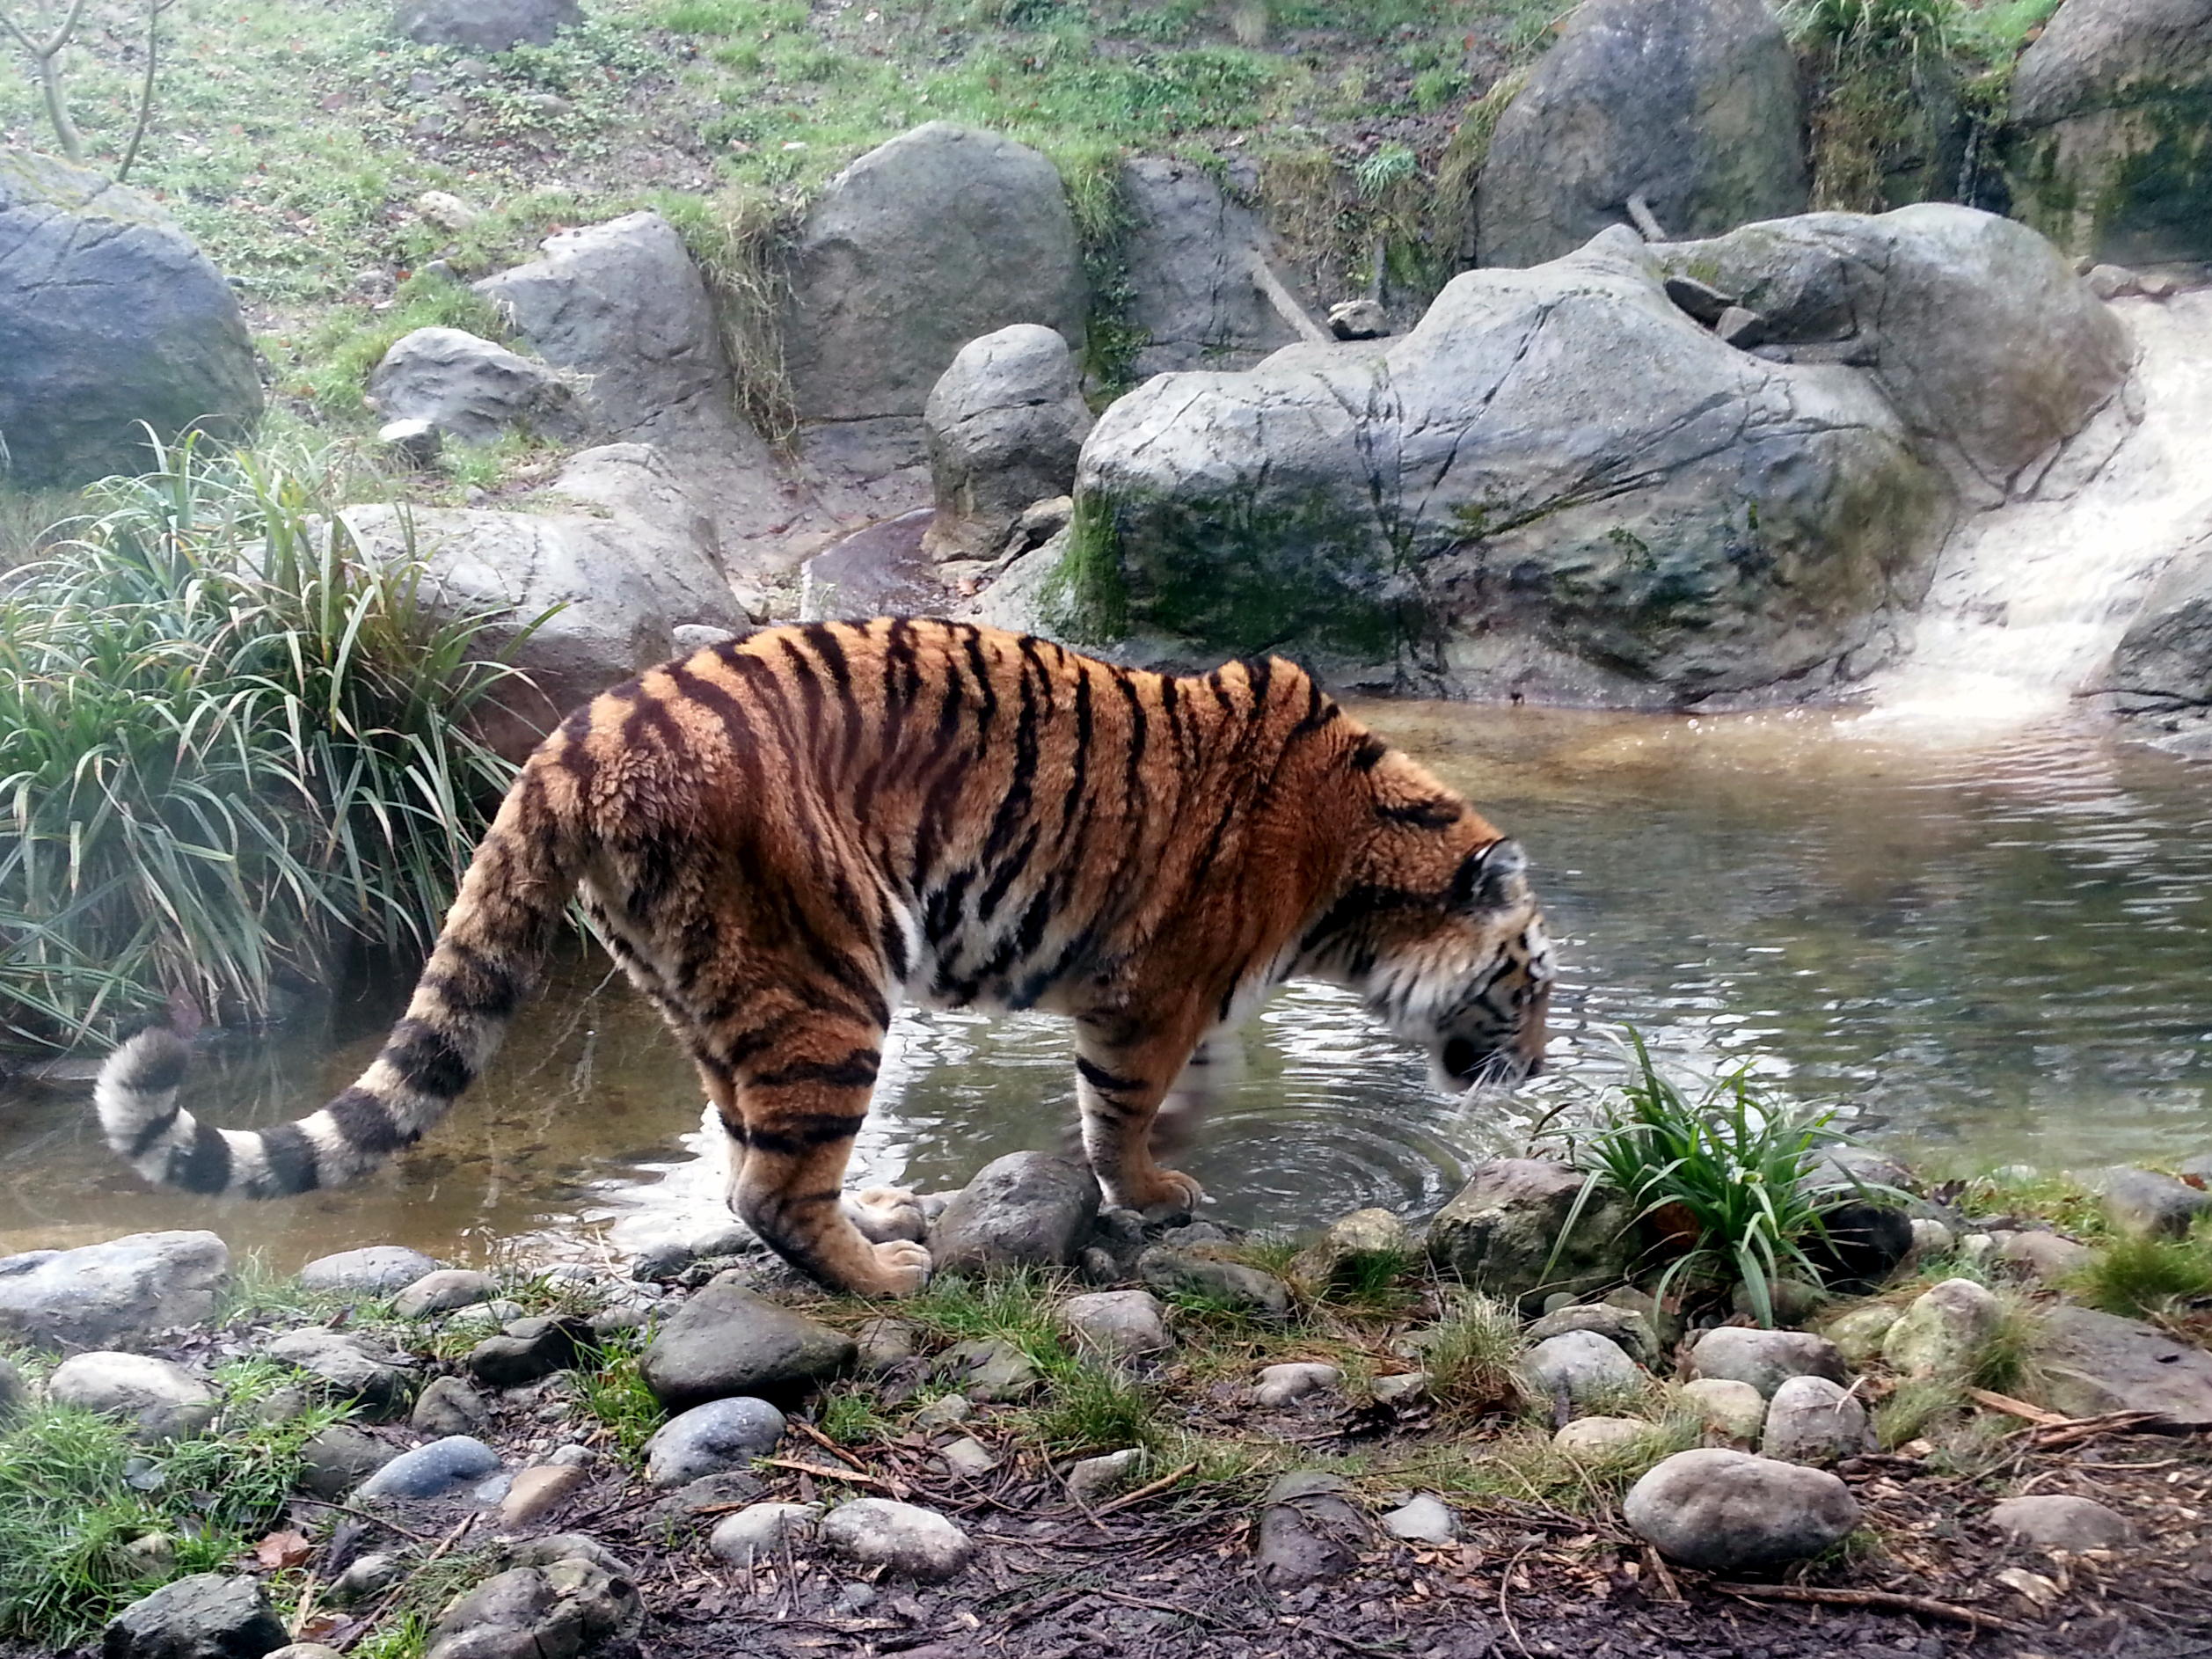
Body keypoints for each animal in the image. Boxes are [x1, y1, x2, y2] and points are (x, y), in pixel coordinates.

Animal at [95, 618, 1554, 1298]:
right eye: (1526, 982)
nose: (1541, 1066)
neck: (1356, 867)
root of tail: (568, 738)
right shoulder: (1145, 989)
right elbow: (1124, 1107)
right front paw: (1152, 1184)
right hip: (829, 981)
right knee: (769, 1186)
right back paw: (886, 1274)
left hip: (695, 982)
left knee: (740, 1145)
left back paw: (881, 1223)